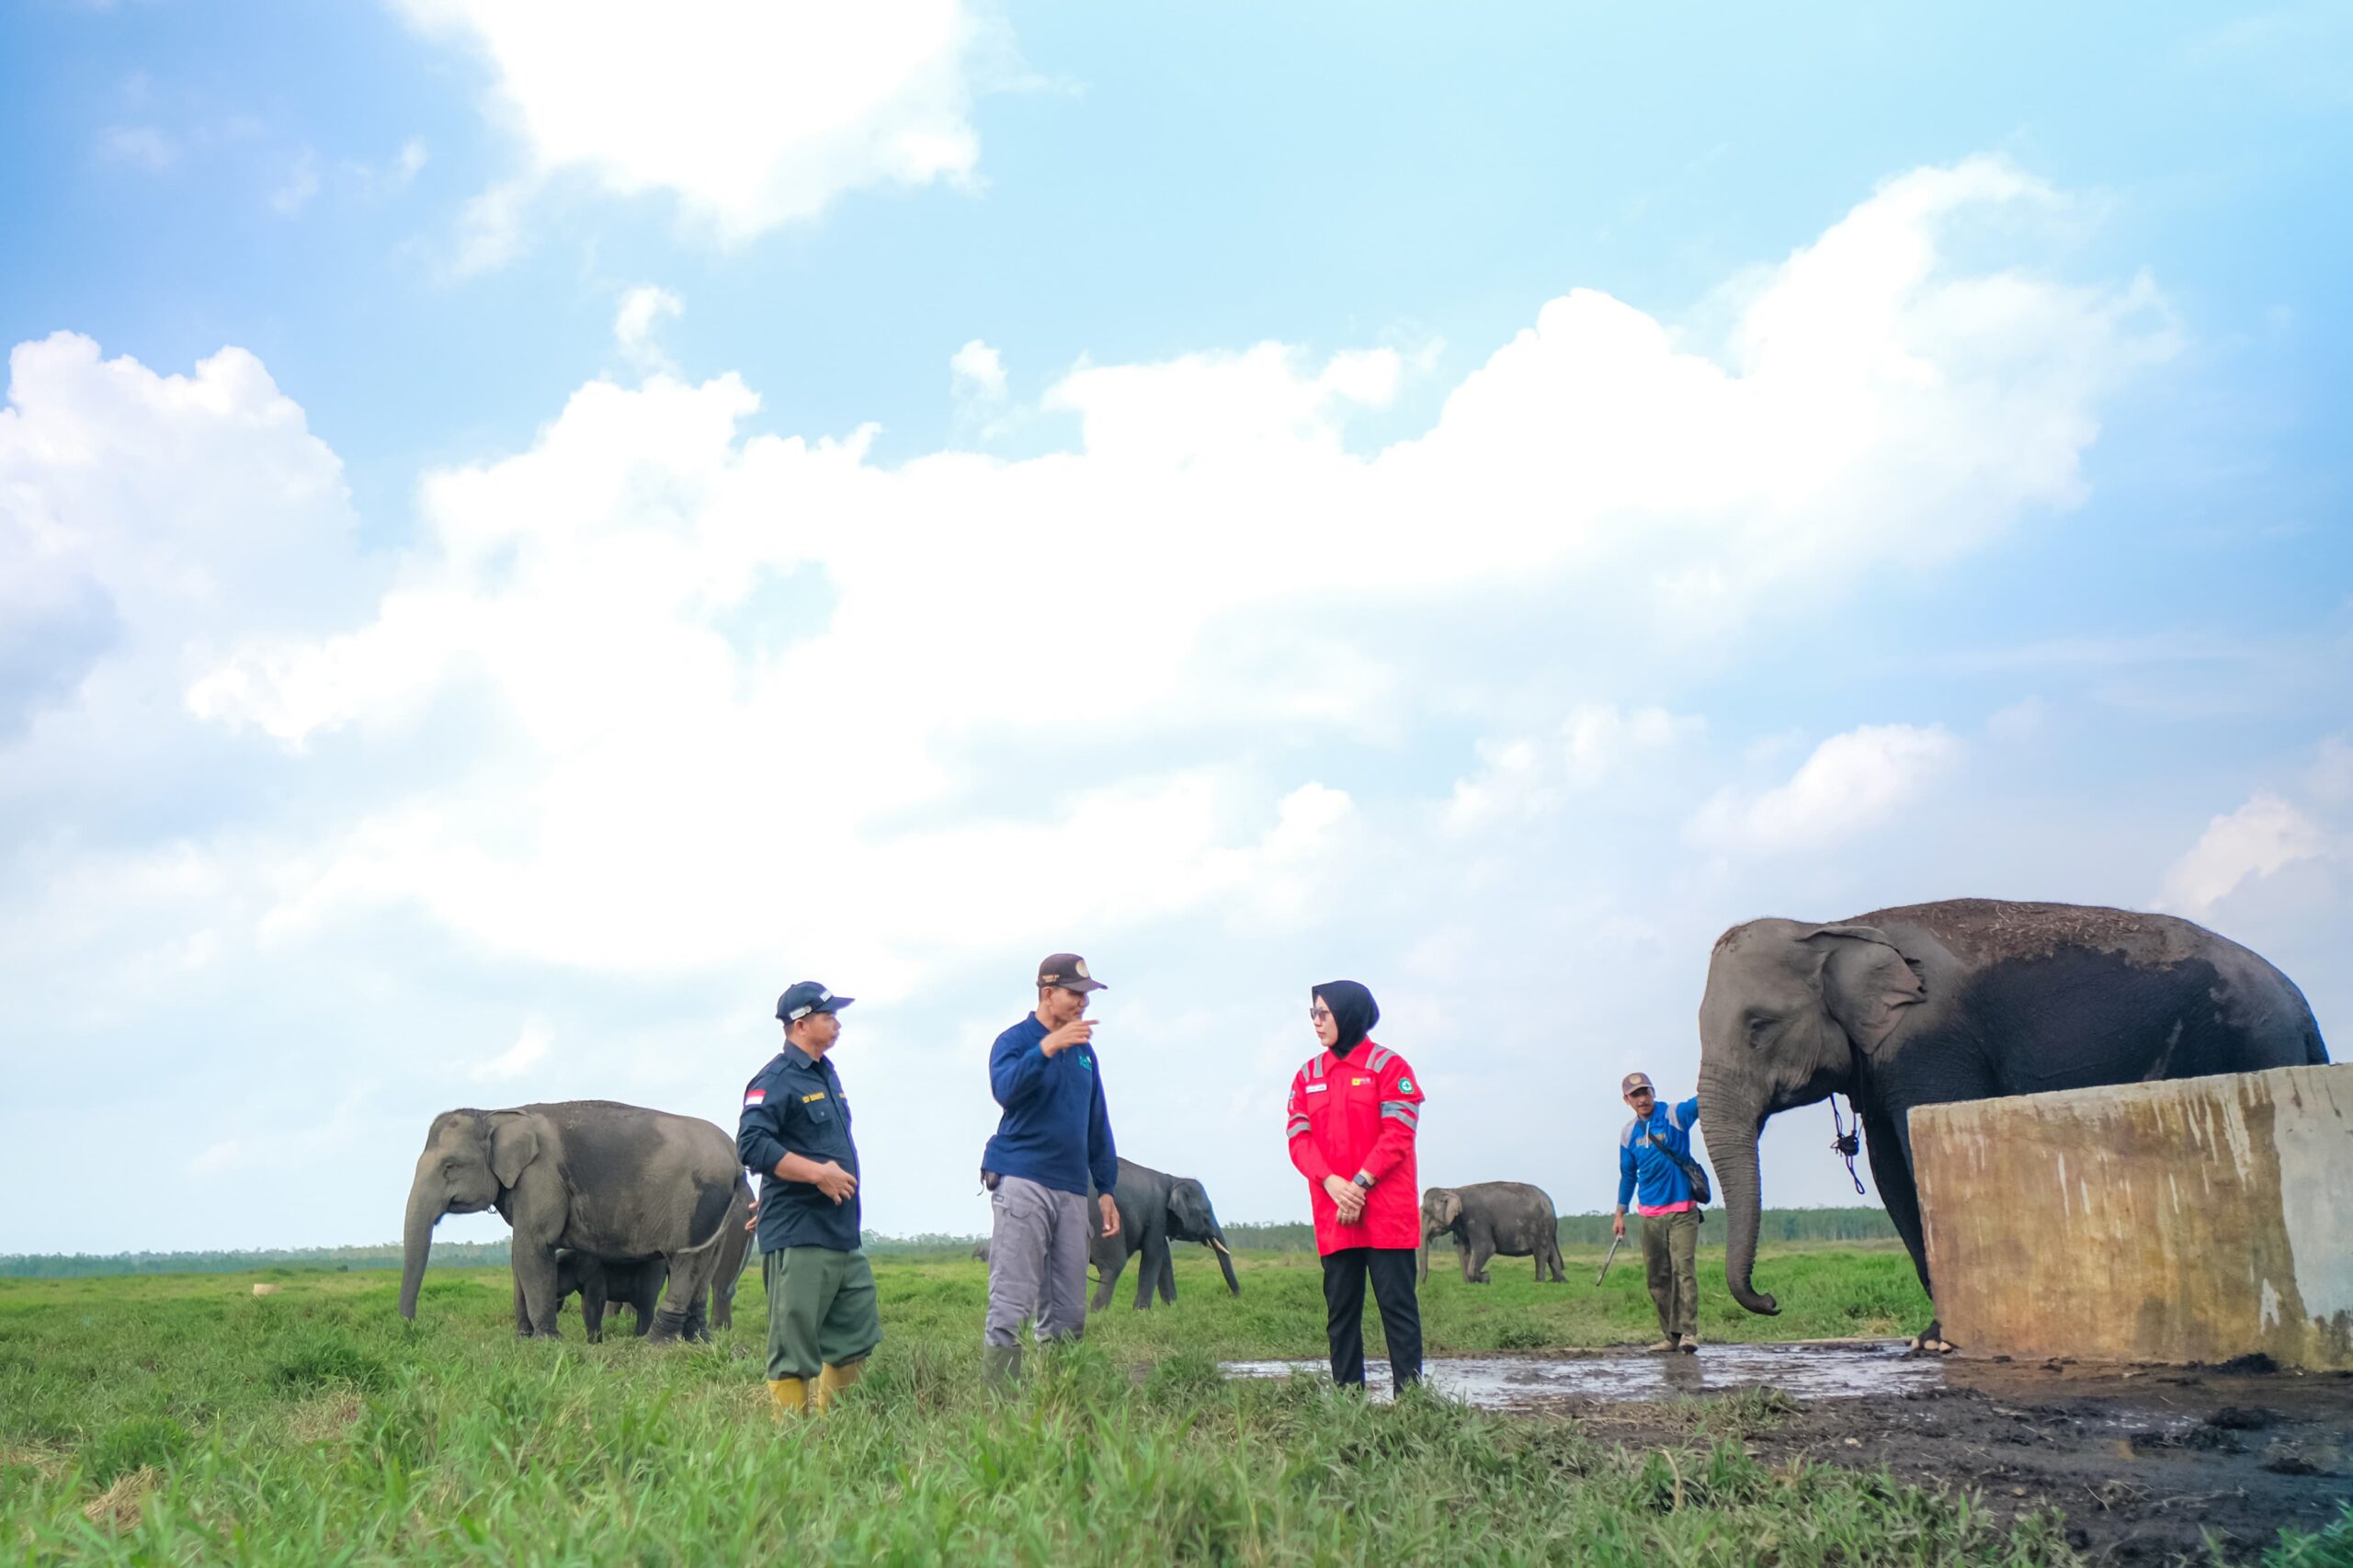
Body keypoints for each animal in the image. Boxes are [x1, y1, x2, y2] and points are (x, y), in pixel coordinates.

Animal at [395, 1092, 743, 1336]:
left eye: (449, 1166)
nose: (410, 1326)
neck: (495, 1113)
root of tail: (735, 1160)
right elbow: (518, 1254)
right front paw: (523, 1336)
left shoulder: (541, 1174)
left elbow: (532, 1246)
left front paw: (546, 1340)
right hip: (718, 1209)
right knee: (708, 1264)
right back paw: (698, 1340)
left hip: (696, 1202)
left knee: (687, 1260)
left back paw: (657, 1343)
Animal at [1086, 1149, 1242, 1309]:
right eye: (1205, 1214)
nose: (1232, 1297)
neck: (1173, 1180)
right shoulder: (1157, 1212)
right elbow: (1153, 1254)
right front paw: (1141, 1310)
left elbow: (1165, 1255)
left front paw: (1171, 1306)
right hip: (1101, 1218)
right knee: (1114, 1266)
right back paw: (1098, 1311)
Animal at [1412, 1176, 1562, 1280]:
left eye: (1426, 1213)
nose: (1423, 1285)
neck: (1452, 1190)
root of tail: (1550, 1202)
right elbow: (1463, 1251)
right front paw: (1472, 1284)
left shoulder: (1477, 1219)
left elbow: (1486, 1247)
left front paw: (1486, 1277)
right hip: (1547, 1228)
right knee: (1552, 1253)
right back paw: (1558, 1282)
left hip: (1541, 1226)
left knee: (1540, 1253)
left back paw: (1539, 1282)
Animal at [1703, 890, 2325, 1346]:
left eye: (1759, 1026)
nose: (1771, 1301)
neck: (1837, 927)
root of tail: (2300, 1001)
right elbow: (1889, 1173)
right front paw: (1929, 1340)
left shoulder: (1931, 1043)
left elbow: (1918, 1149)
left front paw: (1939, 1339)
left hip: (2257, 1045)